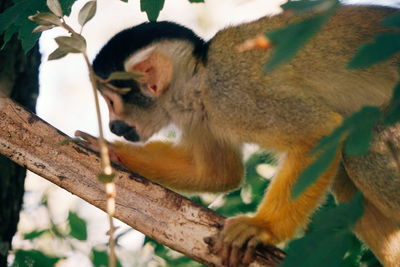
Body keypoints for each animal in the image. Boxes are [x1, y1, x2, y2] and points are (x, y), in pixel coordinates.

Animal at [79, 4, 400, 267]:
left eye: (110, 102)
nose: (113, 127)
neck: (198, 80)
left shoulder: (232, 94)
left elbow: (320, 131)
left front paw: (263, 227)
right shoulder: (202, 117)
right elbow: (218, 174)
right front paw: (113, 152)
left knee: (363, 145)